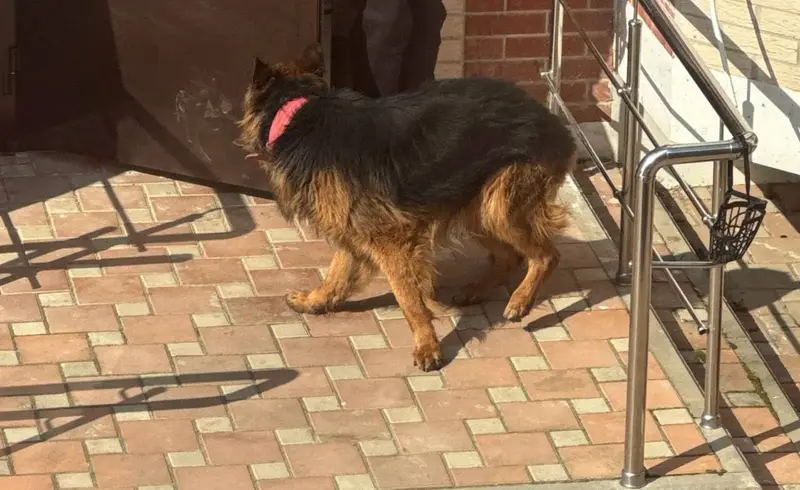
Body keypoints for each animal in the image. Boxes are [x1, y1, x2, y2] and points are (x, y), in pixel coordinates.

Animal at [238, 44, 577, 371]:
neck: (299, 114)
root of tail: (551, 119)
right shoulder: (353, 226)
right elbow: (336, 272)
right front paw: (315, 301)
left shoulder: (393, 240)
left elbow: (409, 299)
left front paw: (428, 347)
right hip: (477, 209)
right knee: (510, 256)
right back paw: (478, 291)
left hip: (499, 209)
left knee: (547, 255)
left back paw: (520, 300)